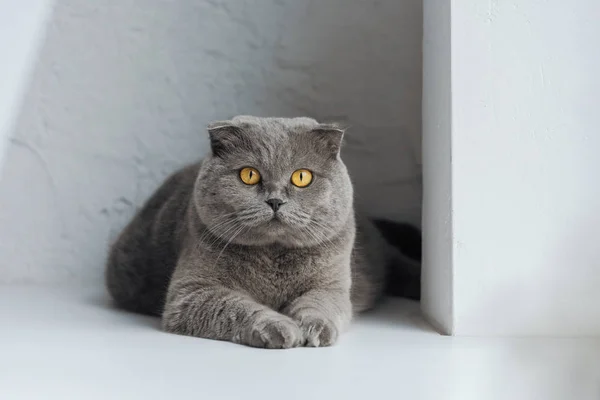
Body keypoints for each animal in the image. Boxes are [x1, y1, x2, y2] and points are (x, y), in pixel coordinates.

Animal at [105, 115, 420, 346]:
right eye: (249, 175)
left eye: (302, 177)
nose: (275, 200)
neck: (273, 255)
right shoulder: (190, 293)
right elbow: (234, 307)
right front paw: (281, 329)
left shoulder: (331, 284)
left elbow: (321, 304)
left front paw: (313, 329)